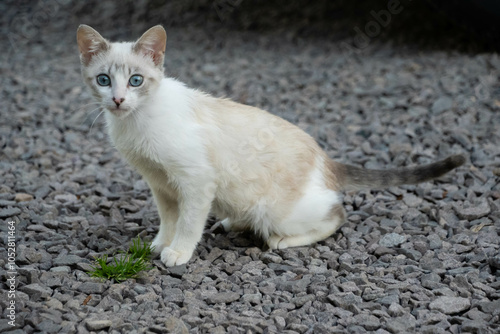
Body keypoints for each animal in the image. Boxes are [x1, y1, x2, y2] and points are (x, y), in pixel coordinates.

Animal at [75, 24, 464, 268]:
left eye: (136, 81)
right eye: (104, 80)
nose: (118, 100)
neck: (135, 123)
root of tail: (327, 160)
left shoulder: (195, 182)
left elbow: (188, 222)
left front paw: (177, 252)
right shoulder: (161, 184)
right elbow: (169, 219)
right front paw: (159, 244)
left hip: (274, 211)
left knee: (337, 214)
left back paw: (278, 241)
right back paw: (230, 223)